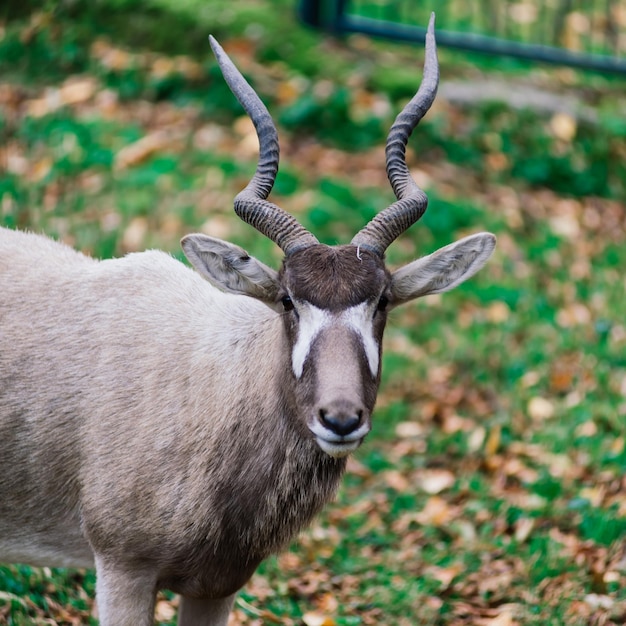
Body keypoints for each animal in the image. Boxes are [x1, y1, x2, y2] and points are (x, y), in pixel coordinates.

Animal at [1, 14, 492, 624]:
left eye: (381, 301)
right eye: (287, 300)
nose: (340, 418)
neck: (211, 380)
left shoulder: (217, 585)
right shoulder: (122, 570)